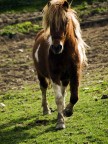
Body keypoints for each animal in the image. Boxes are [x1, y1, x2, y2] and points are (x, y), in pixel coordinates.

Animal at [32, 0, 88, 130]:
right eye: (50, 22)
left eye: (66, 21)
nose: (56, 47)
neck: (65, 54)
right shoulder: (54, 75)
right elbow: (58, 99)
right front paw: (60, 122)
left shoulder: (75, 73)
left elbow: (73, 96)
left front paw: (67, 111)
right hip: (41, 74)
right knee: (43, 88)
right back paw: (46, 109)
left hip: (65, 78)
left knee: (63, 93)